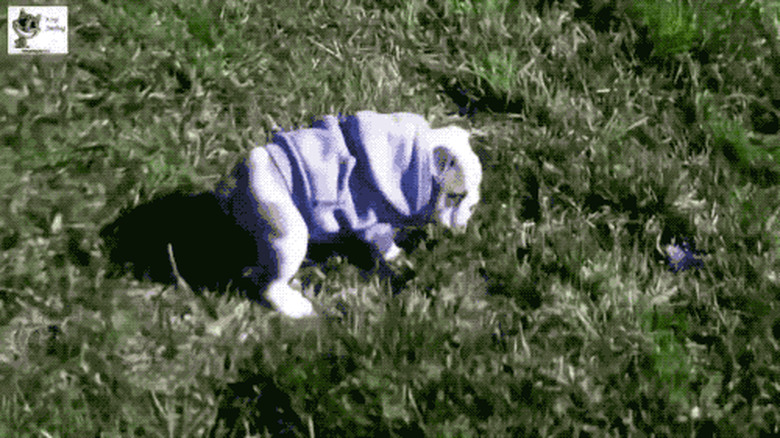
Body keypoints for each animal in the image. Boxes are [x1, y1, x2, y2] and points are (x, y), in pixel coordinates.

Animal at [215, 111, 482, 318]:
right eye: (456, 196)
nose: (471, 209)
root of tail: (239, 179)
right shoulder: (374, 223)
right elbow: (386, 245)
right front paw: (399, 257)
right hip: (289, 234)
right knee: (270, 285)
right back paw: (296, 308)